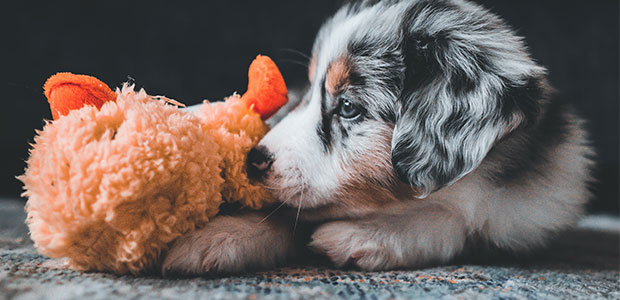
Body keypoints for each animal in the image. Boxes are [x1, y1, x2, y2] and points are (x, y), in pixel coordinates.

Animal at [162, 0, 592, 276]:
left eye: (349, 107)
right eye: (309, 93)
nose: (253, 160)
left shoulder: (529, 211)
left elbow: (458, 221)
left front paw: (367, 236)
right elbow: (284, 211)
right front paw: (220, 236)